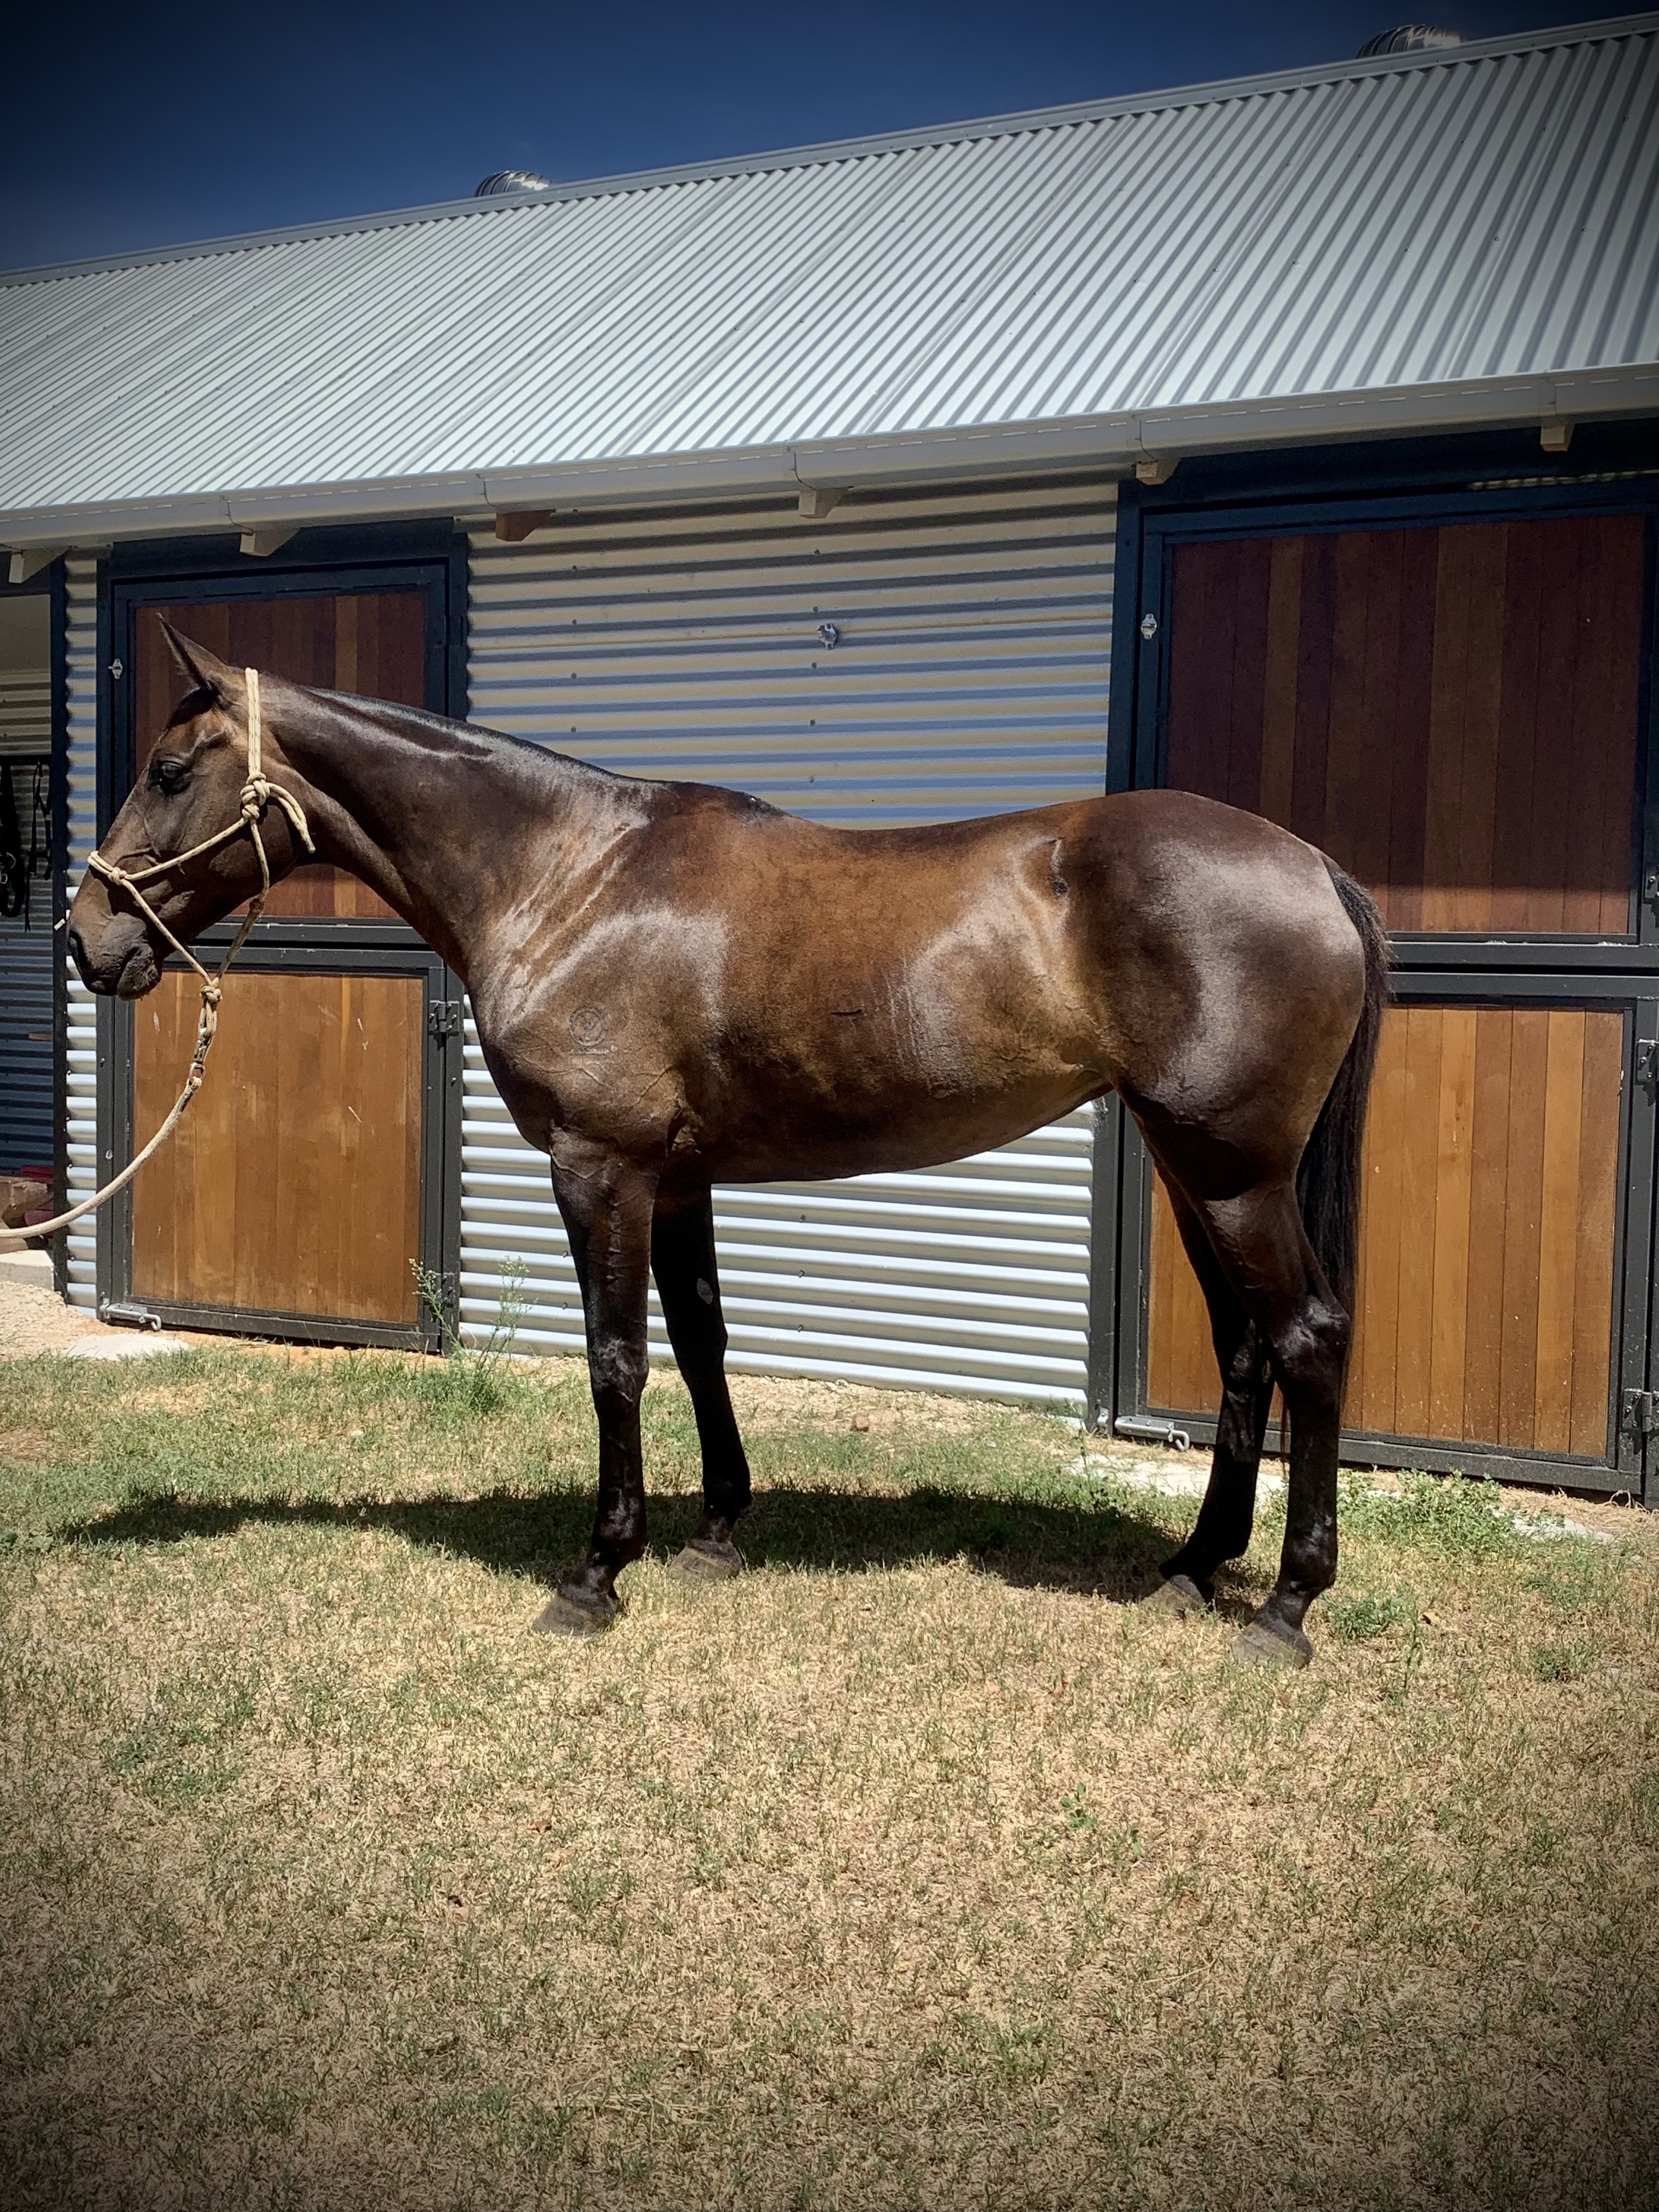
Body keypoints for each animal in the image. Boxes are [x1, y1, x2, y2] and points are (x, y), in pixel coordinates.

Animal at [68, 623, 1388, 1668]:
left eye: (168, 769)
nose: (87, 941)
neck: (572, 877)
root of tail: (1317, 867)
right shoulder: (679, 1175)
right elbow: (700, 1341)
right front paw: (713, 1533)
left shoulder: (598, 1167)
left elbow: (615, 1361)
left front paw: (597, 1573)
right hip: (1195, 1167)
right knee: (1243, 1351)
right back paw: (1193, 1566)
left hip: (1232, 1172)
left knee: (1308, 1340)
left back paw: (1285, 1606)